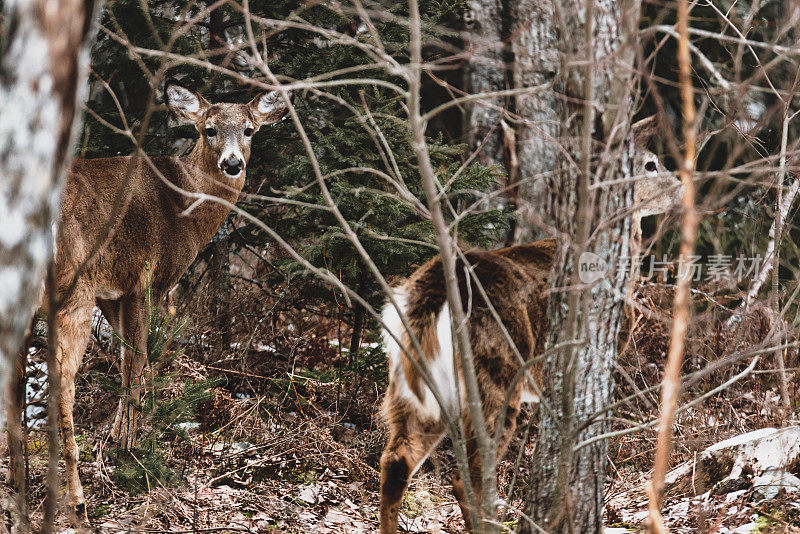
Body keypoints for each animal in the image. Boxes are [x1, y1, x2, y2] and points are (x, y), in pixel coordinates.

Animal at [7, 80, 292, 524]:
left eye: (249, 130)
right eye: (209, 129)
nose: (232, 164)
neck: (184, 204)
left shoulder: (114, 292)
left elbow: (127, 361)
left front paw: (118, 437)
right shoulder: (145, 277)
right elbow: (140, 360)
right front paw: (130, 443)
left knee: (16, 380)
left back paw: (16, 485)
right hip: (71, 289)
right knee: (60, 385)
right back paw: (77, 503)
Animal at [378, 136, 684, 532]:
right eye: (650, 164)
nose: (680, 187)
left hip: (409, 376)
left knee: (396, 460)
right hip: (495, 371)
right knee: (469, 476)